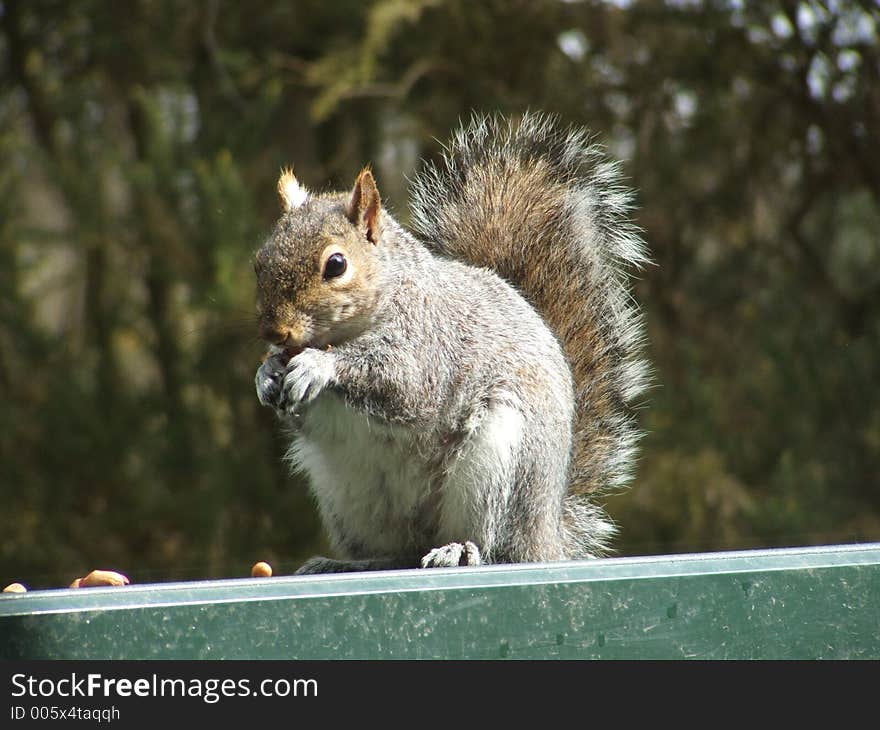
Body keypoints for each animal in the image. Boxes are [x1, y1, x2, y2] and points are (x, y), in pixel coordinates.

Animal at [251, 111, 648, 572]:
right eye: (259, 261)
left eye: (336, 265)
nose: (275, 332)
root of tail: (547, 534)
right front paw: (266, 374)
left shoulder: (430, 345)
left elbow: (404, 386)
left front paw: (318, 366)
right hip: (349, 495)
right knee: (396, 554)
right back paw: (347, 563)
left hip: (502, 466)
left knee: (494, 547)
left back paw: (460, 549)